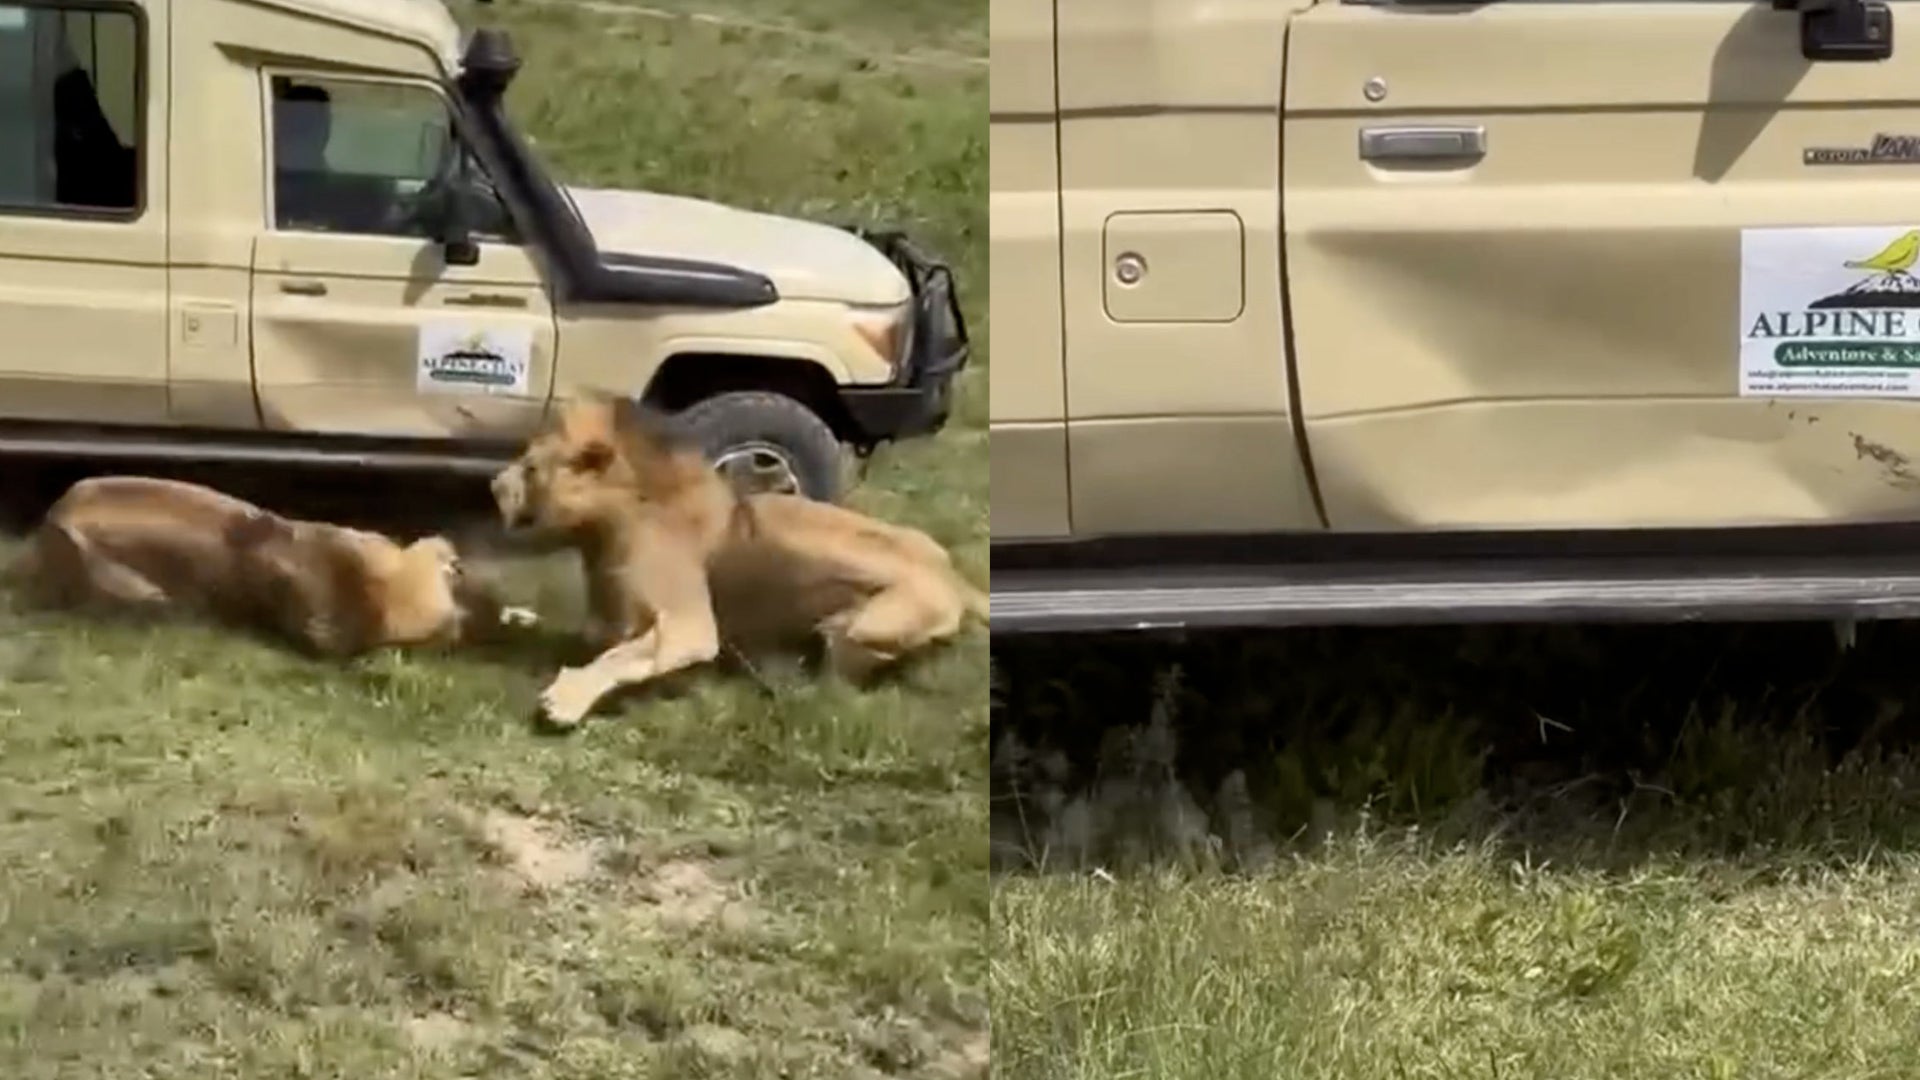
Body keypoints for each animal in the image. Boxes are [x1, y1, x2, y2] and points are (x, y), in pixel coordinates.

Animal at [488, 394, 988, 728]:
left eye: (530, 467)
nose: (493, 486)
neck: (605, 525)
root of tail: (958, 581)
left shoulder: (689, 625)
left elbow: (619, 657)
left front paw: (564, 700)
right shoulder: (608, 614)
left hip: (865, 625)